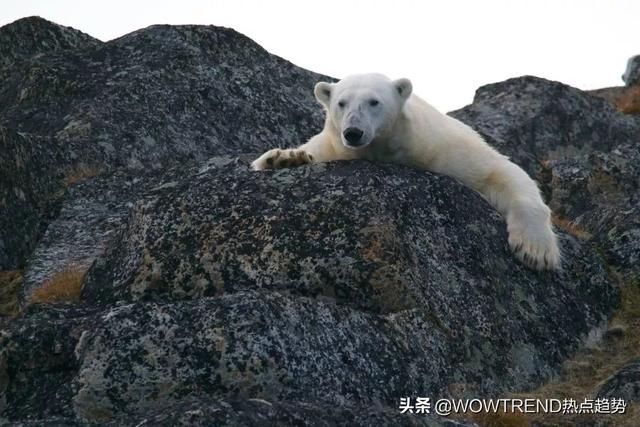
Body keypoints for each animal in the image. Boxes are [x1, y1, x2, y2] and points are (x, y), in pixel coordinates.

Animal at [251, 74, 560, 270]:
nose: (353, 132)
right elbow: (308, 151)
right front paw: (284, 159)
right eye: (341, 102)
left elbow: (500, 171)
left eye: (374, 101)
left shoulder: (443, 147)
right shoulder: (333, 146)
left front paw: (535, 251)